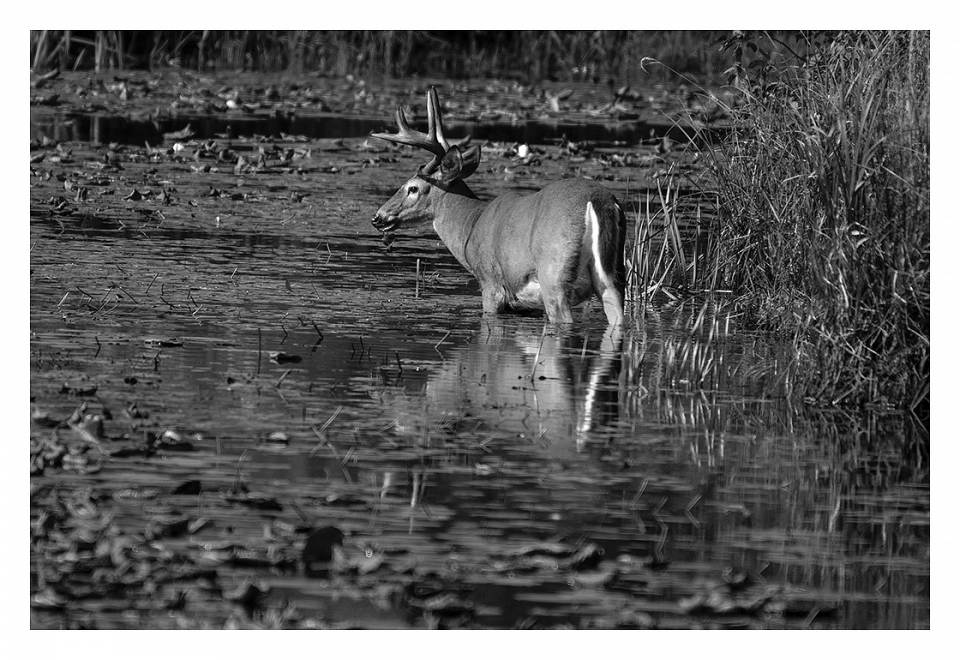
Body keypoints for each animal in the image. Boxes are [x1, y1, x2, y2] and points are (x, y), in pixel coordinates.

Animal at [372, 86, 628, 326]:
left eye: (413, 188)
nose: (377, 217)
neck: (471, 225)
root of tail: (598, 201)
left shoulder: (491, 283)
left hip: (554, 275)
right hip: (614, 276)